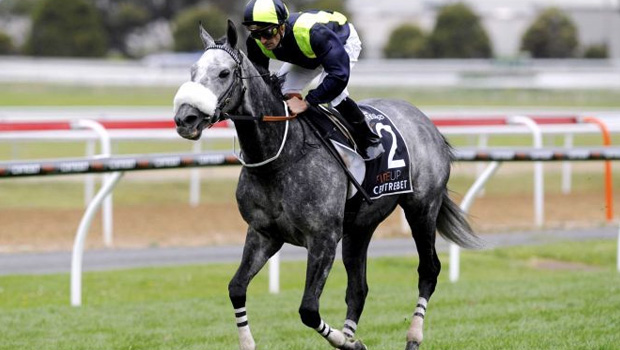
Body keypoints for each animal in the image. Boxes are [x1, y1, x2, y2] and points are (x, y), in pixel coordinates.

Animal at [174, 21, 480, 350]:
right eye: (192, 71)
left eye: (223, 73)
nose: (185, 118)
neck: (281, 157)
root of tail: (425, 120)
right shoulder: (263, 234)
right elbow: (236, 288)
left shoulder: (323, 238)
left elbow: (308, 309)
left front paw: (351, 343)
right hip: (360, 226)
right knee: (358, 288)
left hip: (422, 208)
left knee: (429, 269)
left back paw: (413, 337)